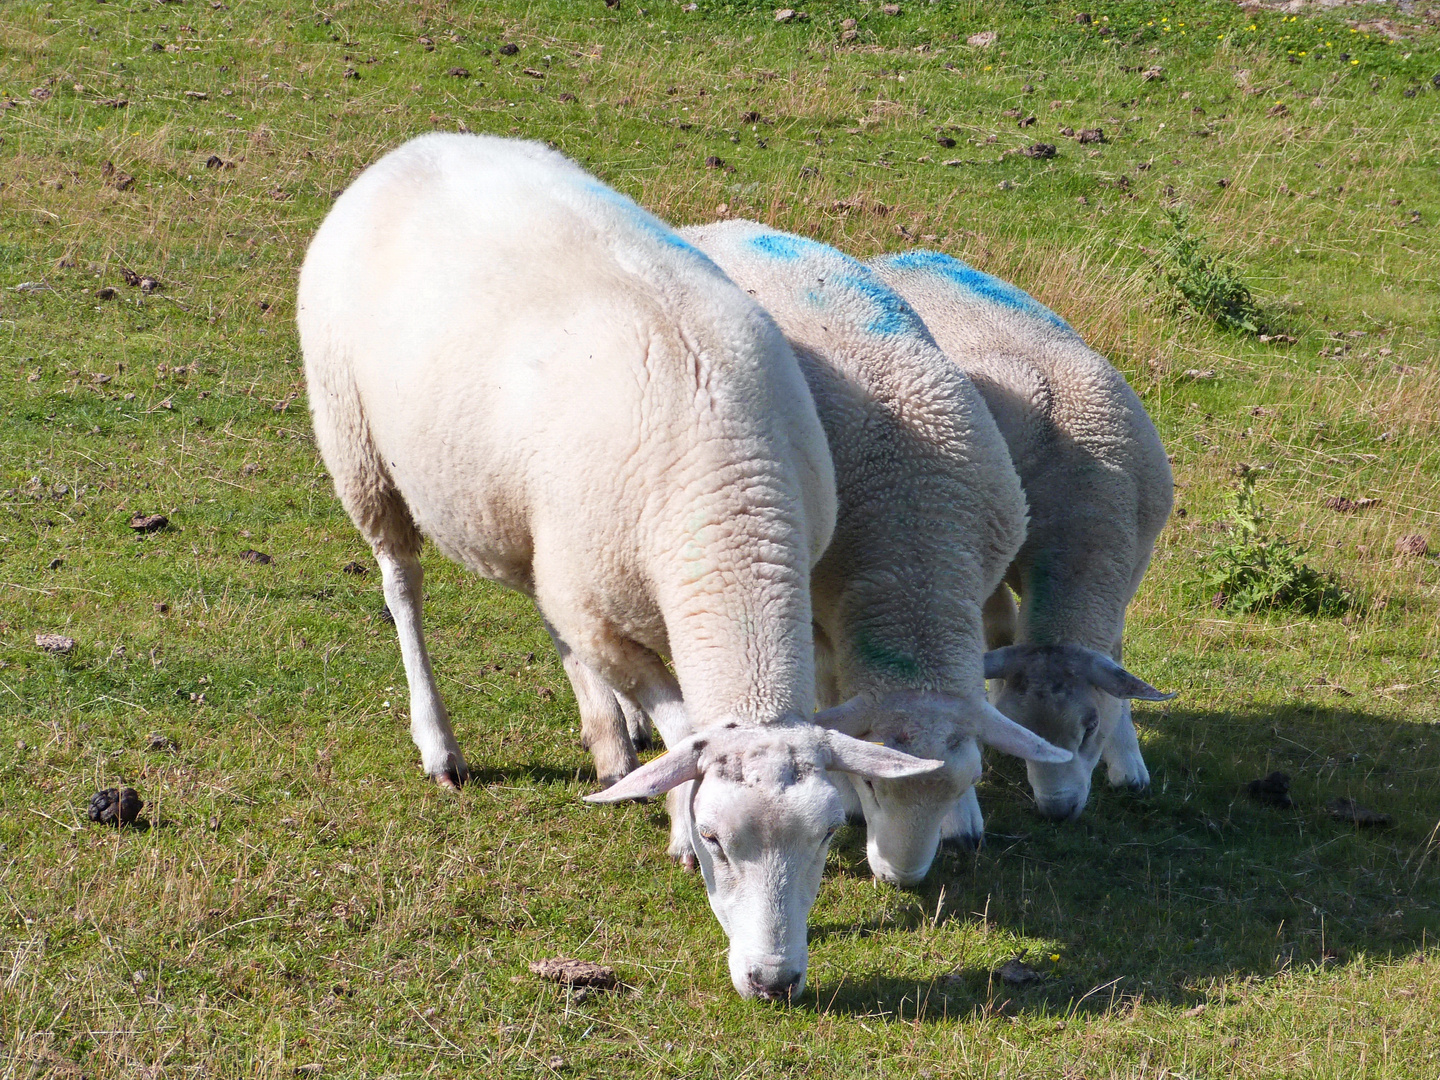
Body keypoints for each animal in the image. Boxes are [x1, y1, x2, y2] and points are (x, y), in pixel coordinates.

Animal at [299, 137, 944, 1008]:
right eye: (716, 838)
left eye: (829, 832)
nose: (772, 980)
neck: (723, 505)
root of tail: (425, 144)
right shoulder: (600, 612)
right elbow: (679, 721)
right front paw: (669, 814)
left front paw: (630, 746)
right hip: (359, 447)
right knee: (403, 587)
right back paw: (443, 744)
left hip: (538, 526)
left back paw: (610, 733)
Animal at [662, 221, 1071, 887]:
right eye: (880, 790)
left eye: (967, 780)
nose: (902, 878)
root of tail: (717, 226)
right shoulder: (825, 607)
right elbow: (833, 695)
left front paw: (966, 819)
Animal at [869, 252, 1175, 817]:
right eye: (1024, 729)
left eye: (1089, 729)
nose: (1058, 811)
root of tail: (897, 256)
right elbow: (998, 635)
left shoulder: (1132, 565)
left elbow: (1116, 658)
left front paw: (1129, 763)